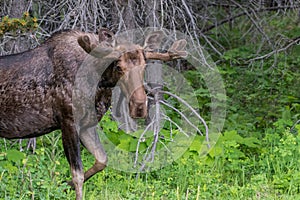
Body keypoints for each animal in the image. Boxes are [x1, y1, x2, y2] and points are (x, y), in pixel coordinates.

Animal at [0, 27, 186, 199]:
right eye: (119, 67)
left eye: (145, 65)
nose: (139, 105)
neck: (98, 84)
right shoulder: (68, 121)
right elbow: (78, 174)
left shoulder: (87, 124)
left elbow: (102, 160)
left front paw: (63, 185)